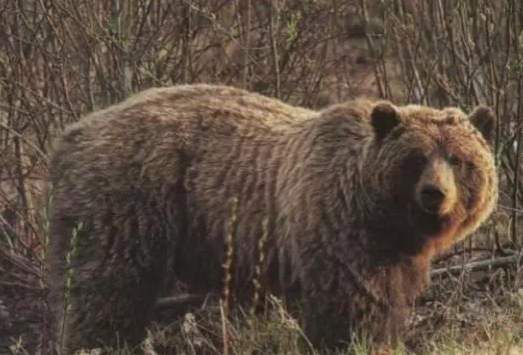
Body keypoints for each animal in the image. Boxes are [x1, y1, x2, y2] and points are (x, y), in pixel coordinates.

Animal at [46, 83, 500, 354]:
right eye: (415, 159)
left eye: (458, 159)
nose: (434, 194)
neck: (386, 220)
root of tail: (70, 134)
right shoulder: (337, 229)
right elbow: (349, 305)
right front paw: (352, 340)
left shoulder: (397, 255)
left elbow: (388, 301)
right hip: (130, 199)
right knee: (109, 287)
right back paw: (98, 343)